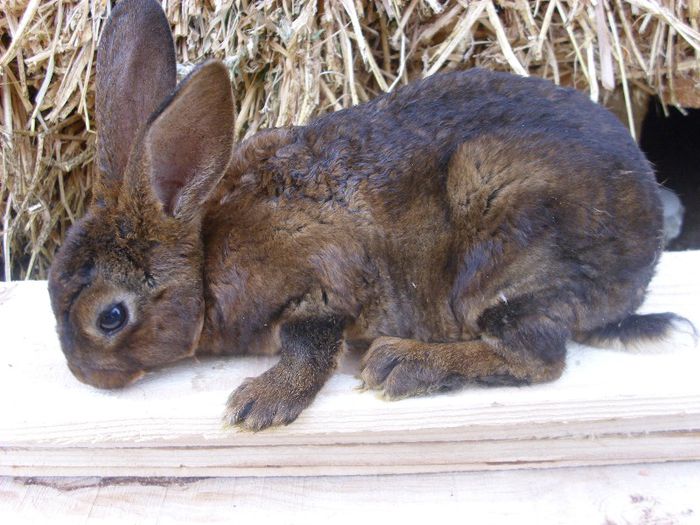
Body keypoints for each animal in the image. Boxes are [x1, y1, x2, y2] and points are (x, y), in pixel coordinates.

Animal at [47, 0, 684, 430]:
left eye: (109, 317)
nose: (81, 374)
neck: (204, 261)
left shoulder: (320, 284)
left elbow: (310, 348)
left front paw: (256, 404)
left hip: (510, 247)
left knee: (537, 356)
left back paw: (400, 365)